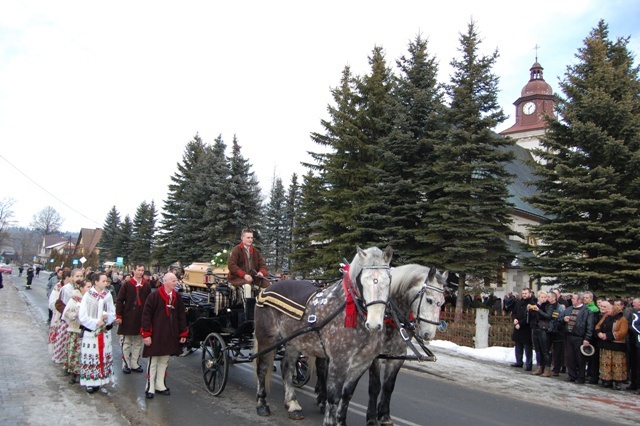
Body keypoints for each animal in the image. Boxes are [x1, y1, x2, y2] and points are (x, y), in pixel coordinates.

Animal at [252, 246, 392, 426]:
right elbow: (334, 397)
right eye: (363, 280)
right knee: (262, 368)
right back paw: (262, 404)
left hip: (293, 341)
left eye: (388, 280)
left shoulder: (362, 364)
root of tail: (265, 290)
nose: (374, 324)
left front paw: (340, 421)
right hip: (267, 338)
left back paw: (292, 404)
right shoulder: (338, 361)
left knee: (287, 367)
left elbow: (347, 396)